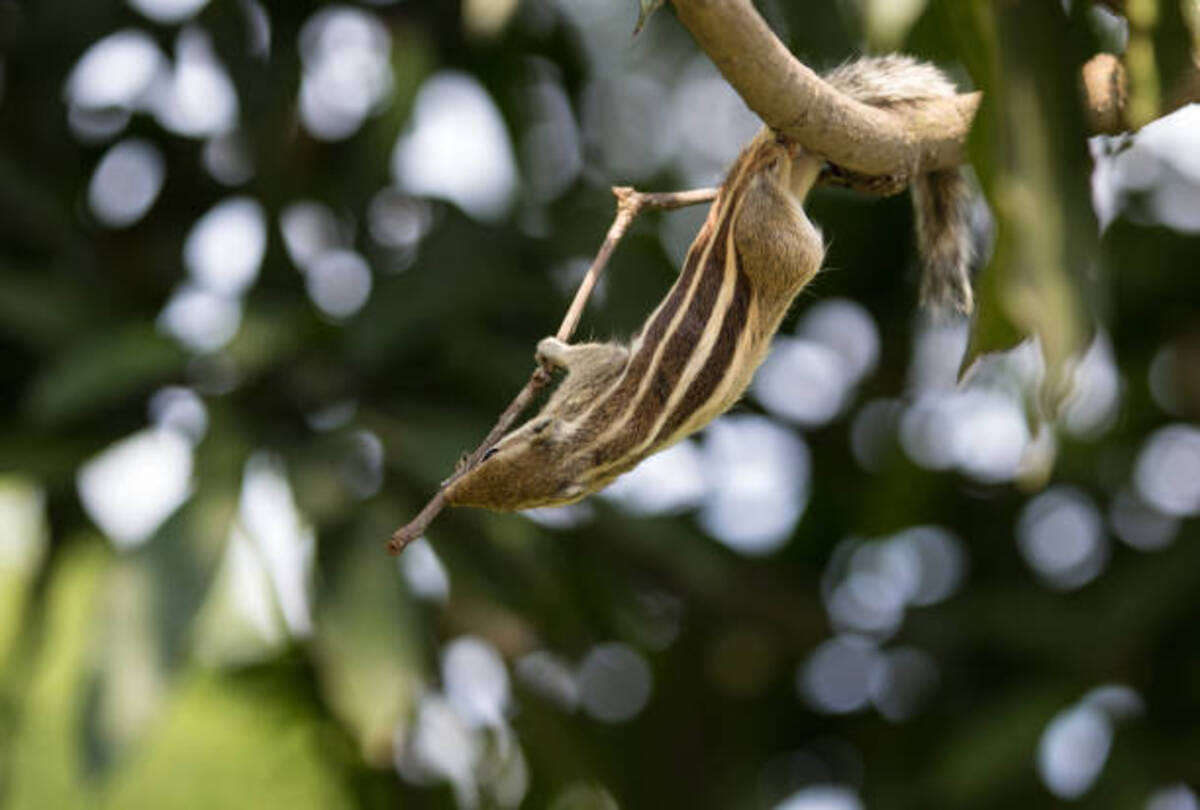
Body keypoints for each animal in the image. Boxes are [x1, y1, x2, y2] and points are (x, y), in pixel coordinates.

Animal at [445, 55, 975, 512]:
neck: (591, 448)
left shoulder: (596, 385)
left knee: (774, 219)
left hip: (773, 242)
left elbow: (599, 357)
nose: (448, 490)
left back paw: (768, 165)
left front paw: (552, 349)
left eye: (490, 455)